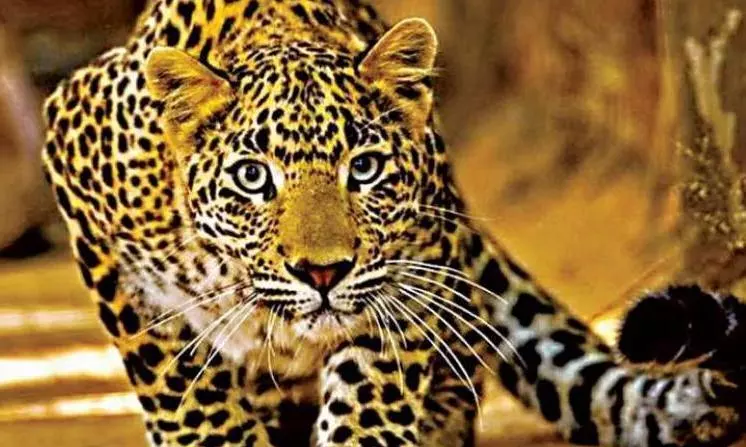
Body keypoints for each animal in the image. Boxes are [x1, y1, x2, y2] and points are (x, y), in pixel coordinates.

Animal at [42, 0, 746, 446]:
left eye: (365, 167)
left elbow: (370, 393)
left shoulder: (412, 269)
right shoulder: (82, 183)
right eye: (252, 177)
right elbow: (179, 384)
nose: (323, 273)